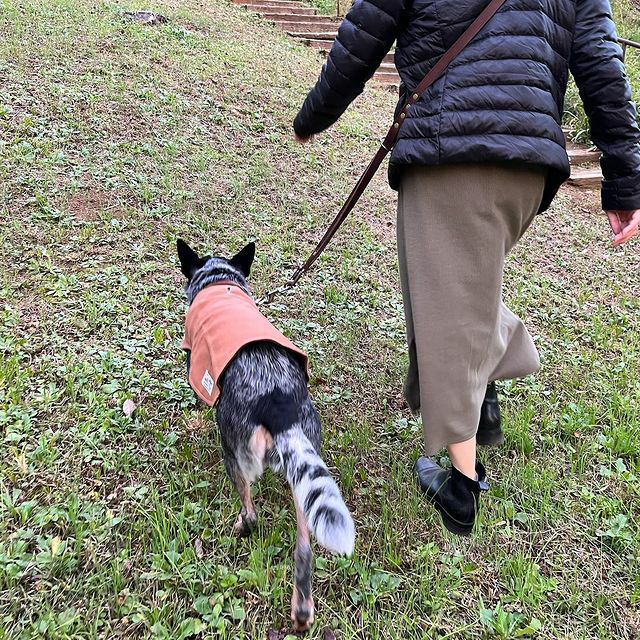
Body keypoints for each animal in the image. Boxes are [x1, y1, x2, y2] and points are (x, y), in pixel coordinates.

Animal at [176, 238, 355, 631]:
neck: (219, 280)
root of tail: (278, 403)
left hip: (235, 452)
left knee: (251, 511)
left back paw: (241, 527)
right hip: (304, 477)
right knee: (303, 549)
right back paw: (302, 611)